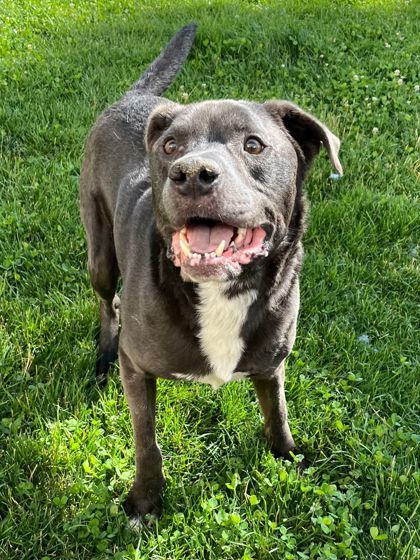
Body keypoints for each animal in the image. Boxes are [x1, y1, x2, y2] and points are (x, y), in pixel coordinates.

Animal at [79, 24, 342, 520]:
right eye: (171, 147)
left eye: (254, 144)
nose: (191, 173)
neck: (222, 291)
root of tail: (133, 97)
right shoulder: (136, 366)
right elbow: (146, 441)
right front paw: (145, 500)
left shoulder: (272, 362)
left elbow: (277, 412)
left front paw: (288, 457)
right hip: (99, 251)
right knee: (107, 298)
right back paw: (103, 350)